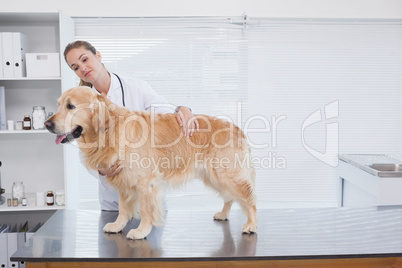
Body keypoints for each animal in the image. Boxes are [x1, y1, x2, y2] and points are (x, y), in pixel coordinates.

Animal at [44, 87, 258, 240]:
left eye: (70, 106)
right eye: (59, 104)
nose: (47, 124)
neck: (110, 130)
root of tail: (237, 128)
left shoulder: (146, 182)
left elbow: (146, 210)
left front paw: (141, 231)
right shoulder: (123, 178)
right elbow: (123, 209)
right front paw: (117, 226)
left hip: (224, 173)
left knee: (249, 197)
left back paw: (251, 224)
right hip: (214, 175)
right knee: (230, 197)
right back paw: (223, 214)